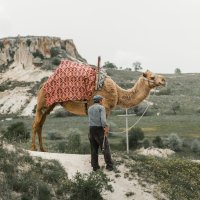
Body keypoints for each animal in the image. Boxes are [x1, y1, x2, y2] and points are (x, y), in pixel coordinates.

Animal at [30, 69, 166, 151]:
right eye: (152, 77)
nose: (164, 80)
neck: (117, 91)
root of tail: (42, 85)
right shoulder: (105, 108)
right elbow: (104, 130)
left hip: (50, 105)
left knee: (40, 124)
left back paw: (43, 149)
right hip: (42, 102)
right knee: (36, 123)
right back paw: (33, 148)